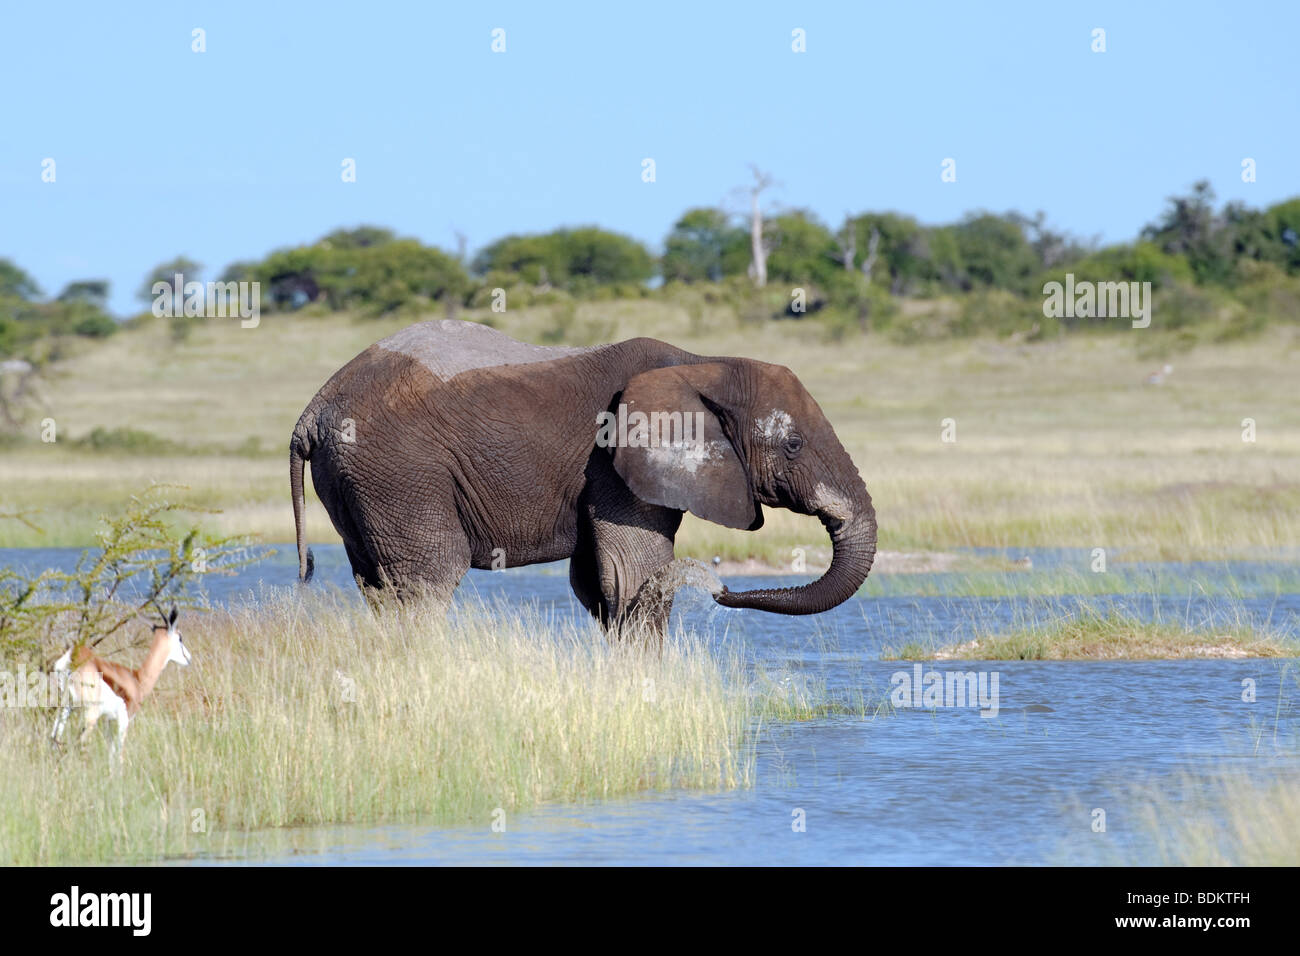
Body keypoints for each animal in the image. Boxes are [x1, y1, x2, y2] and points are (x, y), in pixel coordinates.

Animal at [289, 319, 878, 634]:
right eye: (794, 446)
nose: (721, 589)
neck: (703, 362)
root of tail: (312, 411)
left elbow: (597, 583)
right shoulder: (616, 463)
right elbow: (632, 574)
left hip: (360, 481)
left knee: (378, 585)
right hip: (400, 471)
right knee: (428, 579)